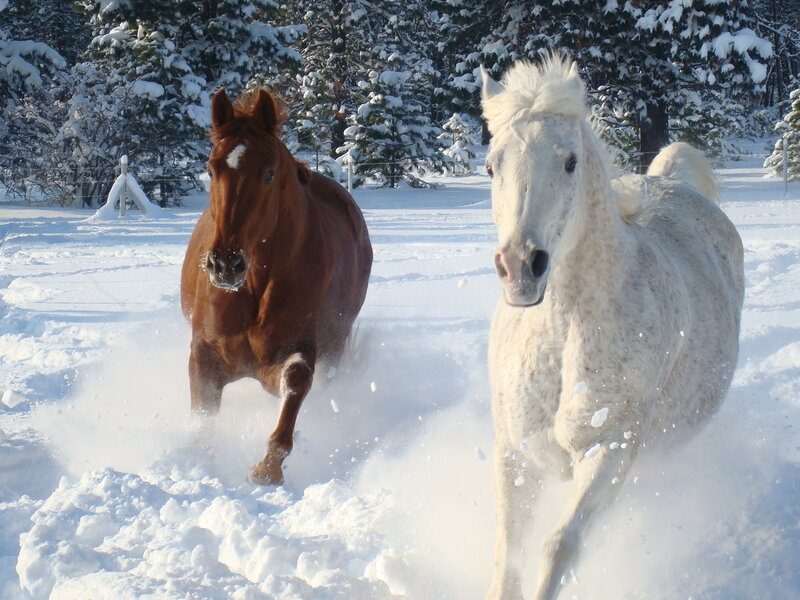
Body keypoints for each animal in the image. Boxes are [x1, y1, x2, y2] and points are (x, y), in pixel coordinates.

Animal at [180, 87, 372, 485]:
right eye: (211, 169)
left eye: (269, 174)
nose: (225, 264)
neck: (254, 287)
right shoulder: (204, 354)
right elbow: (202, 419)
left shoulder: (296, 351)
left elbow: (296, 383)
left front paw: (268, 468)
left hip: (334, 349)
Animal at [480, 56, 744, 600]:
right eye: (492, 164)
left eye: (570, 161)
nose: (521, 268)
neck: (562, 335)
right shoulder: (515, 454)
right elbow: (508, 557)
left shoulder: (609, 451)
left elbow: (558, 546)